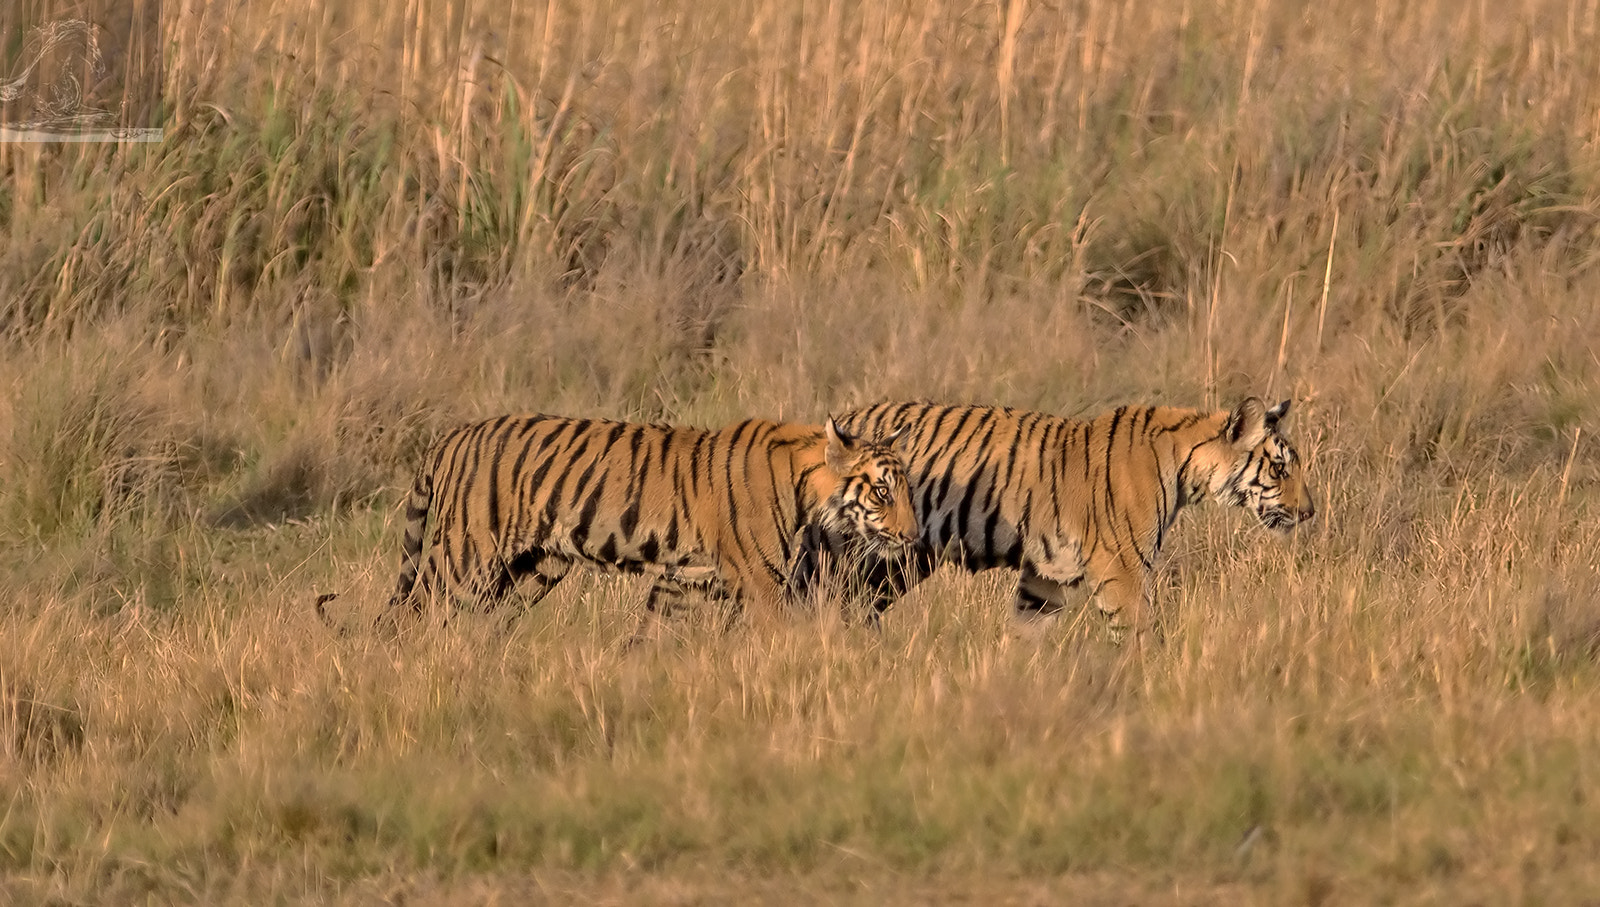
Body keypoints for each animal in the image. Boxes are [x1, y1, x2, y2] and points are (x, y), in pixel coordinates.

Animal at [321, 412, 915, 636]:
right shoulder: (761, 582)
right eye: (882, 491)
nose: (911, 536)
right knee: (410, 616)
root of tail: (451, 435)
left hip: (532, 571)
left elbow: (651, 637)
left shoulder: (687, 580)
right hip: (463, 560)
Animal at [796, 399, 1312, 646]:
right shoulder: (1121, 568)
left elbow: (1027, 632)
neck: (1187, 465)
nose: (1309, 512)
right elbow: (1140, 633)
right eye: (1281, 467)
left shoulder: (1048, 575)